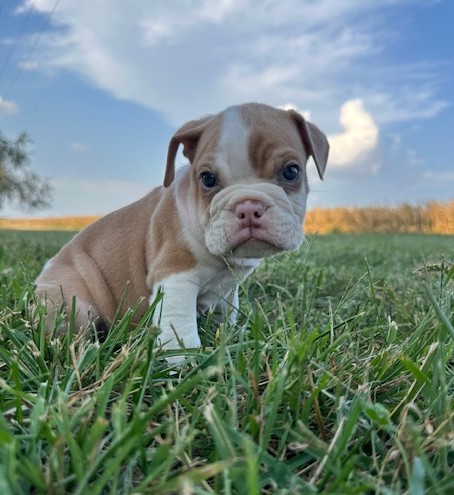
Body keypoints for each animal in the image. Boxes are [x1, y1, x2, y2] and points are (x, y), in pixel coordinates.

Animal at [35, 102, 329, 359]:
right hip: (74, 306)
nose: (248, 206)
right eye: (208, 178)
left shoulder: (226, 290)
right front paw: (182, 365)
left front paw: (229, 336)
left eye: (291, 172)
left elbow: (227, 313)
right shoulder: (175, 276)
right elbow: (180, 329)